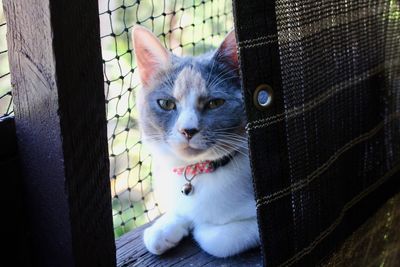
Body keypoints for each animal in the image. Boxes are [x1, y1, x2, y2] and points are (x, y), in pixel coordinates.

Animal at [132, 26, 260, 258]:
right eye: (166, 104)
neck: (198, 170)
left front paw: (199, 226)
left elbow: (216, 238)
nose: (188, 130)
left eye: (215, 103)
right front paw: (164, 228)